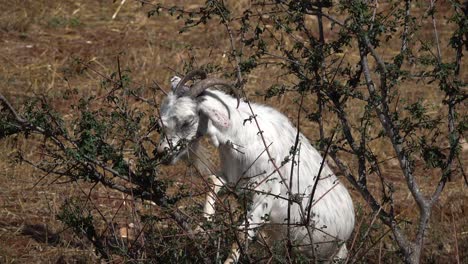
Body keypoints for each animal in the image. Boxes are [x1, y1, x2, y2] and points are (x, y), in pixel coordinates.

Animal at [157, 69, 354, 262]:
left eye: (188, 121)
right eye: (162, 119)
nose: (161, 153)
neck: (243, 135)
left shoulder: (266, 194)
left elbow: (242, 232)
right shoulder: (233, 178)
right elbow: (213, 181)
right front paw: (201, 230)